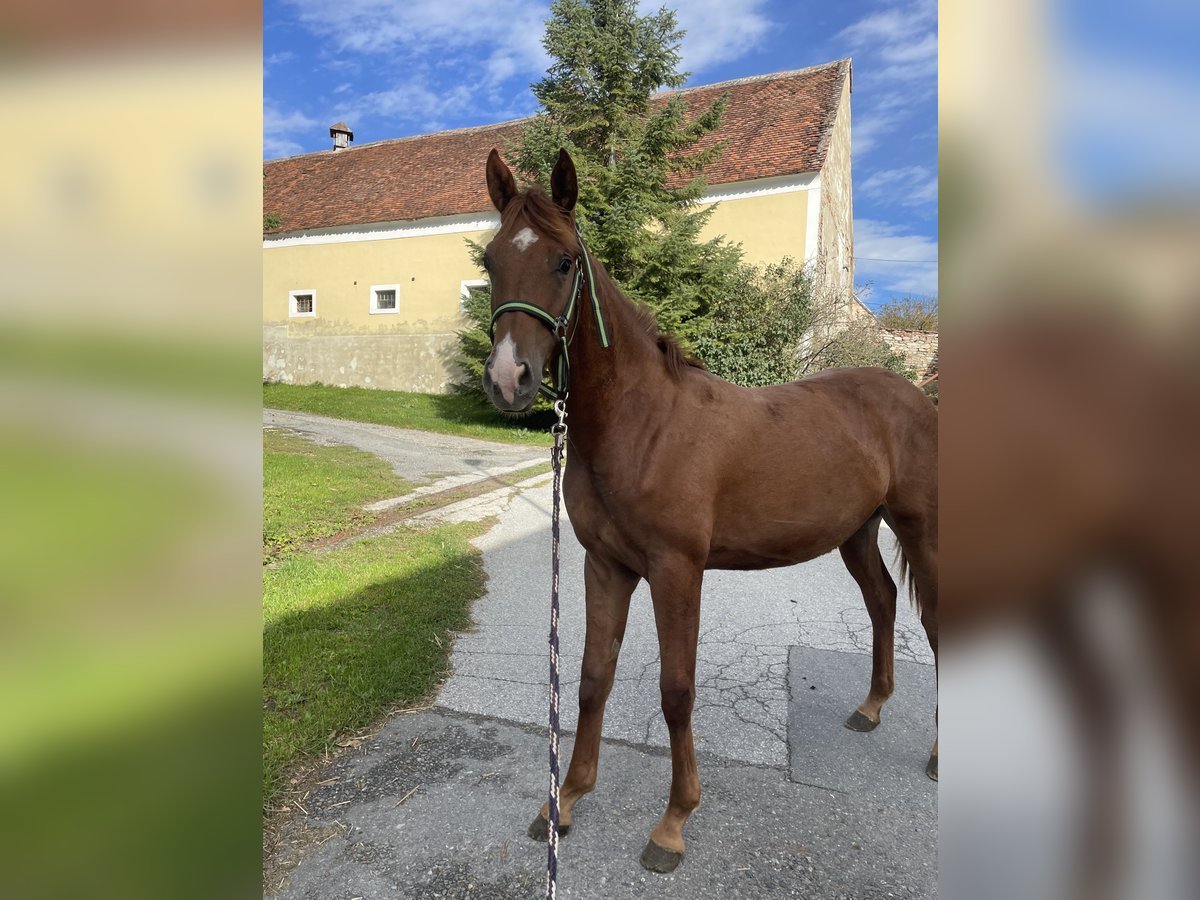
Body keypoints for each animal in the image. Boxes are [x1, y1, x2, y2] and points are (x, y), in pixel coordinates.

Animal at [477, 148, 936, 873]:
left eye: (564, 262)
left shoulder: (676, 570)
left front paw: (673, 823)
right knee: (884, 601)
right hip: (857, 534)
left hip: (924, 527)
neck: (642, 424)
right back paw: (871, 708)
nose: (507, 379)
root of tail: (911, 395)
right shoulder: (605, 566)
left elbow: (676, 691)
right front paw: (565, 801)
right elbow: (592, 678)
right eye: (491, 261)